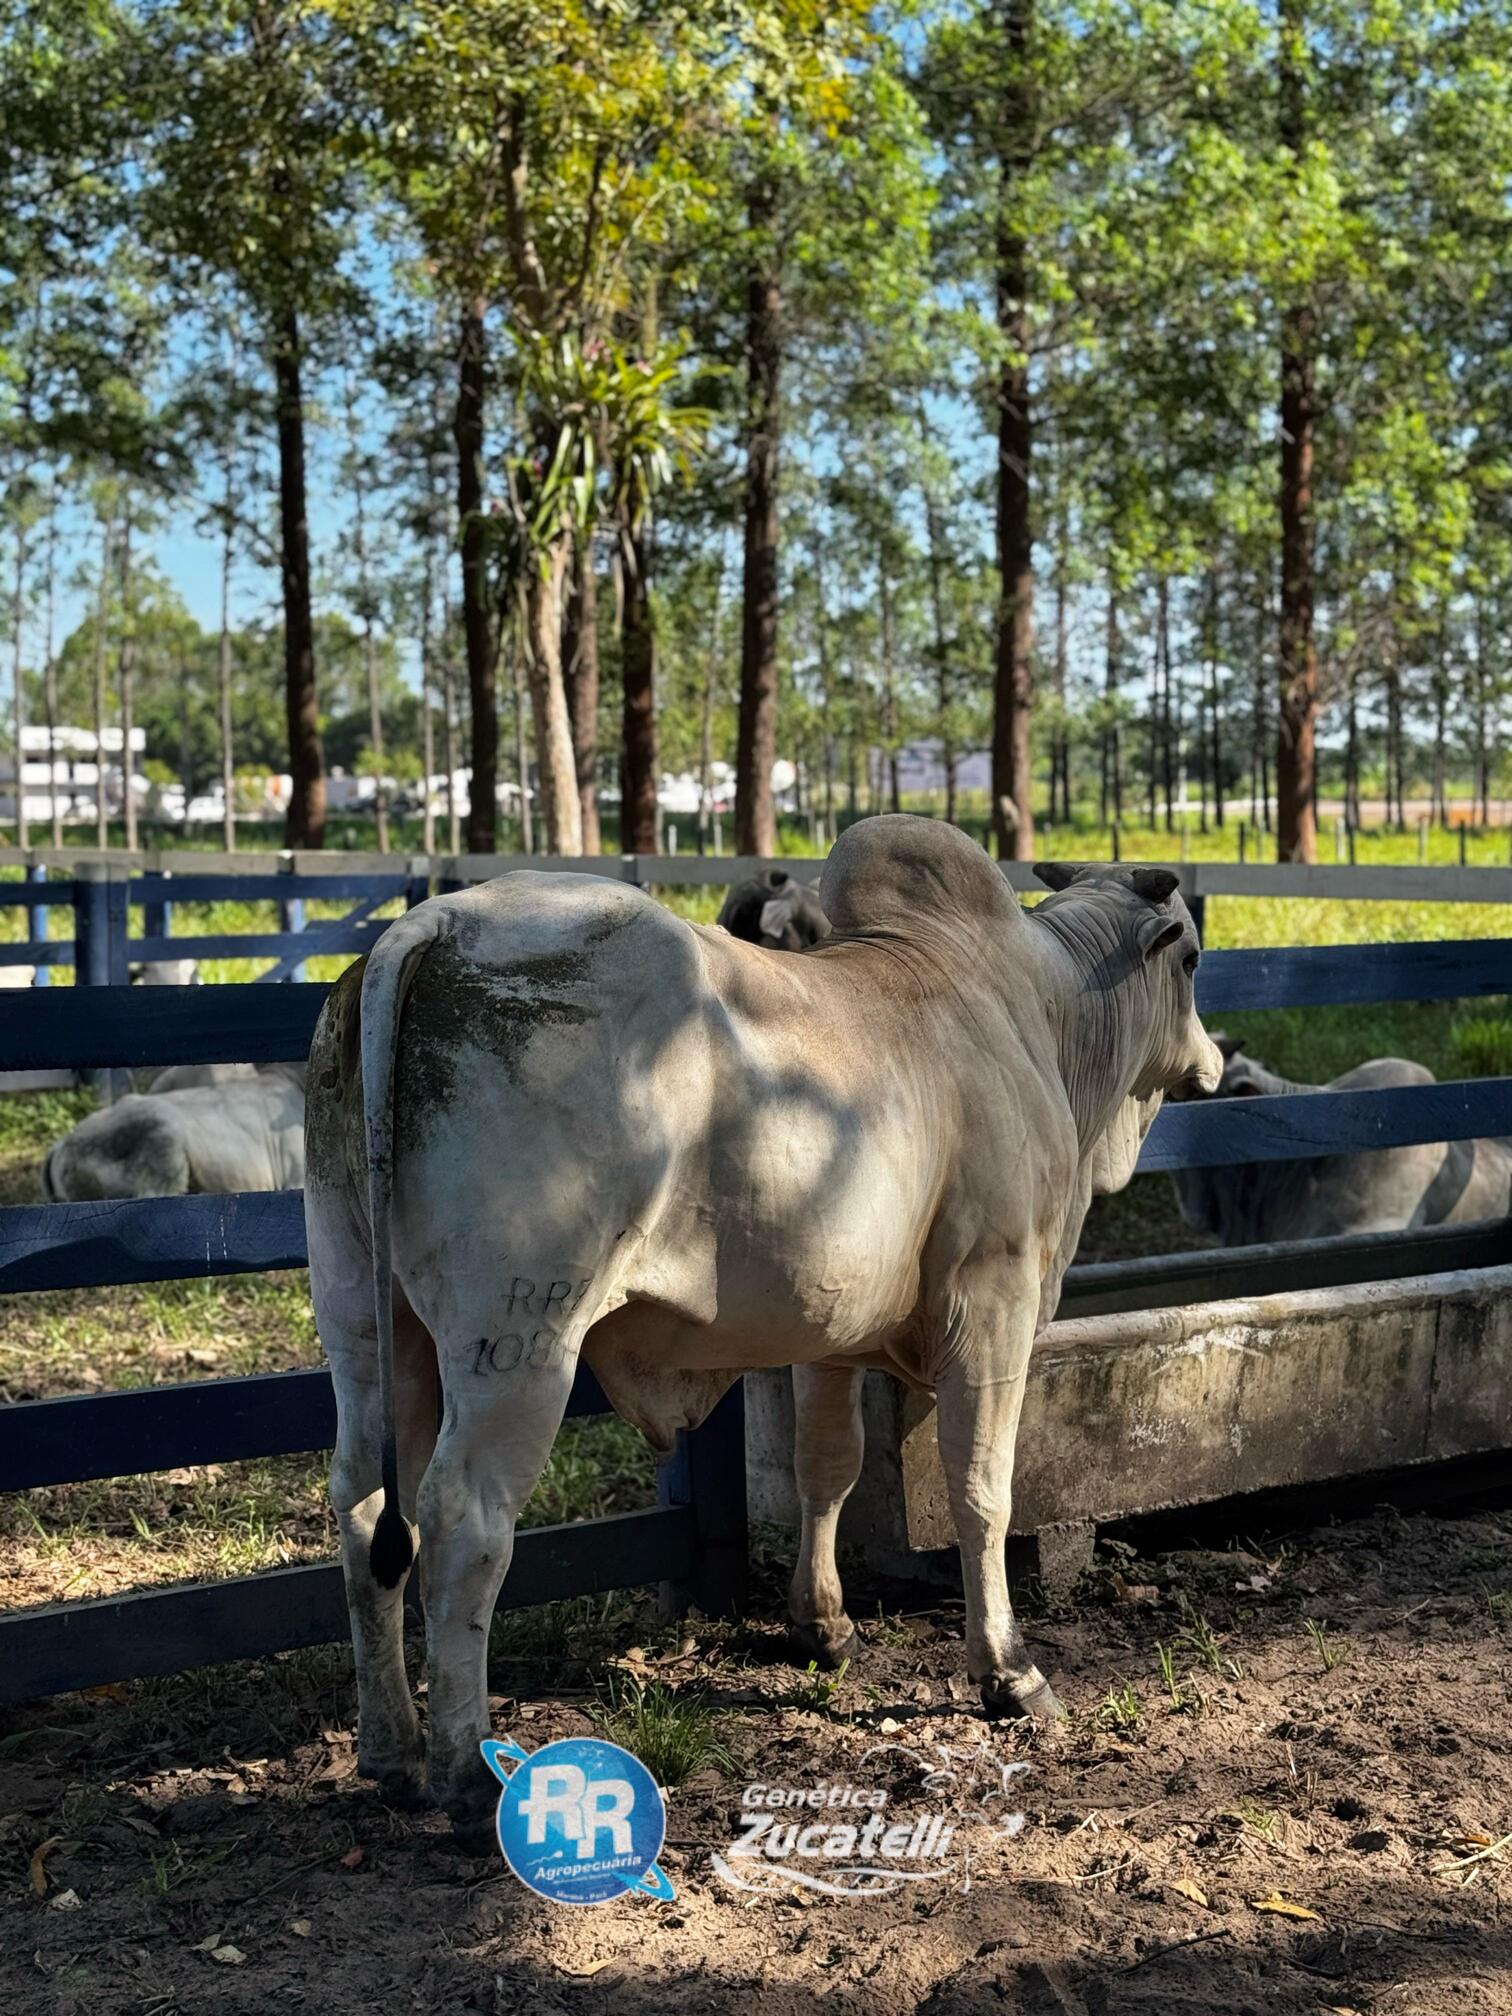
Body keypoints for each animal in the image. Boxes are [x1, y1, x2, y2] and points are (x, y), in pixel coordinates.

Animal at [304, 818, 1222, 1842]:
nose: (1212, 1061)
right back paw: (465, 1773)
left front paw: (821, 1626)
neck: (1046, 1017)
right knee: (465, 1521)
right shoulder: (996, 1295)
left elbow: (828, 1468)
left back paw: (391, 1751)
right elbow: (983, 1487)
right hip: (517, 1339)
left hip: (367, 1324)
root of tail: (437, 923)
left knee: (363, 1510)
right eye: (1191, 956)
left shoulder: (830, 1331)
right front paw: (1010, 1673)